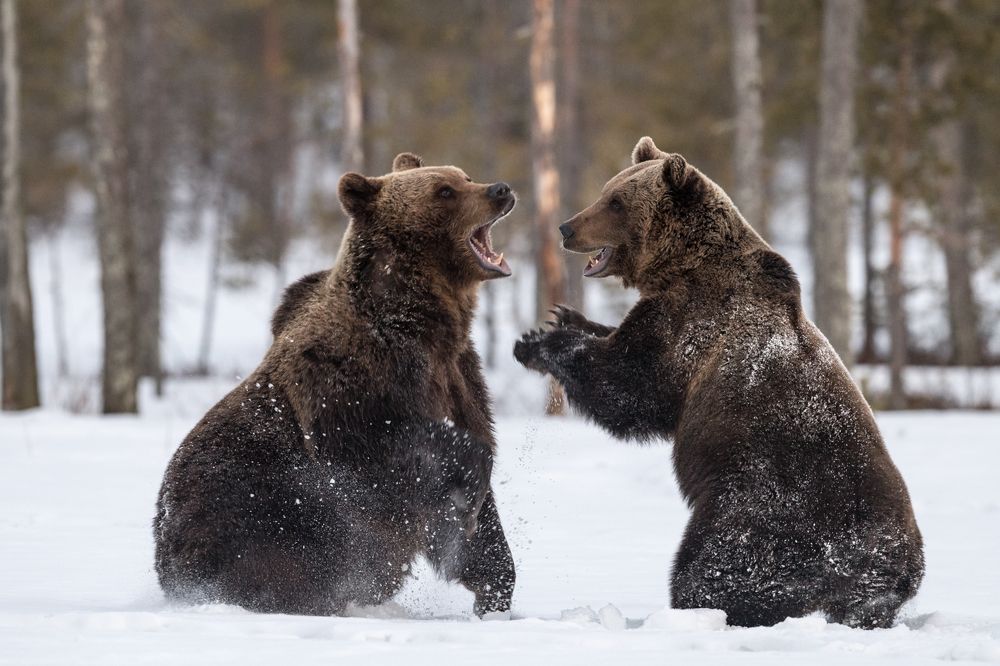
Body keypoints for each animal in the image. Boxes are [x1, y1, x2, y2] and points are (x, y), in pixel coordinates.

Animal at [155, 152, 517, 617]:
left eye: (464, 176)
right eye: (445, 191)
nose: (500, 190)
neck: (419, 322)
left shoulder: (459, 377)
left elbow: (481, 522)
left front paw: (493, 588)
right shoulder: (350, 387)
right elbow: (397, 451)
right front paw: (469, 494)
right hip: (253, 522)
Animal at [514, 136, 924, 629]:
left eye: (615, 202)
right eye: (607, 190)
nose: (566, 227)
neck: (683, 265)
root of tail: (901, 565)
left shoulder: (694, 326)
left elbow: (631, 383)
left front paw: (537, 341)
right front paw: (565, 316)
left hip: (770, 508)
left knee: (716, 567)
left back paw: (700, 607)